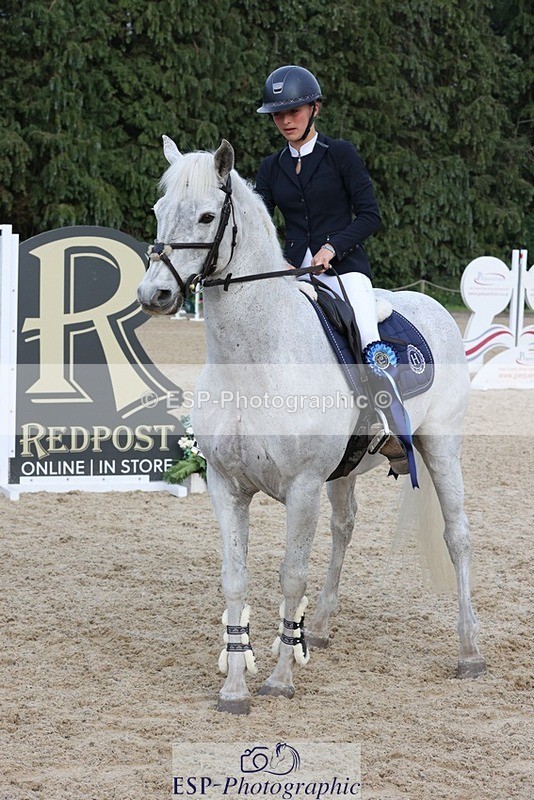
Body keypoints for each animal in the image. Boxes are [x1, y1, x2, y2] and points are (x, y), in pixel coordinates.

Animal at [137, 137, 486, 714]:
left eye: (208, 216)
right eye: (159, 211)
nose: (155, 295)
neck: (256, 359)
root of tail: (430, 305)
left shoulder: (301, 489)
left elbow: (291, 575)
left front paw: (279, 679)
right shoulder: (225, 486)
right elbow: (235, 580)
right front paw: (235, 688)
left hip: (442, 447)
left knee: (457, 536)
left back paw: (470, 651)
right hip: (344, 472)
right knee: (345, 528)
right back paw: (318, 627)